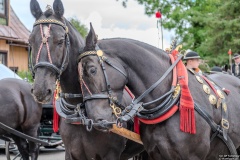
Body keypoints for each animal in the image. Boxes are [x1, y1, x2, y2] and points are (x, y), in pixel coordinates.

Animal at [28, 0, 144, 159]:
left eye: (60, 41)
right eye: (30, 41)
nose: (40, 89)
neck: (80, 113)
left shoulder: (111, 154)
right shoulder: (70, 153)